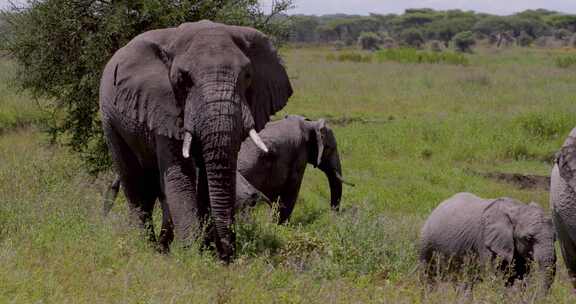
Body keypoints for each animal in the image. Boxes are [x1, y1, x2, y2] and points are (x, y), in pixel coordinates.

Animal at [98, 20, 292, 262]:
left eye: (248, 75)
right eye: (183, 79)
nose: (228, 253)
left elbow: (210, 174)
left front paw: (208, 252)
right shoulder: (162, 104)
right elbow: (181, 175)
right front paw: (192, 256)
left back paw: (161, 247)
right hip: (110, 120)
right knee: (133, 179)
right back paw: (145, 247)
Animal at [418, 194, 560, 290]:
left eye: (555, 239)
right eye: (528, 238)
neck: (517, 208)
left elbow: (519, 276)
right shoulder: (485, 243)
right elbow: (493, 277)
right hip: (427, 242)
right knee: (427, 275)